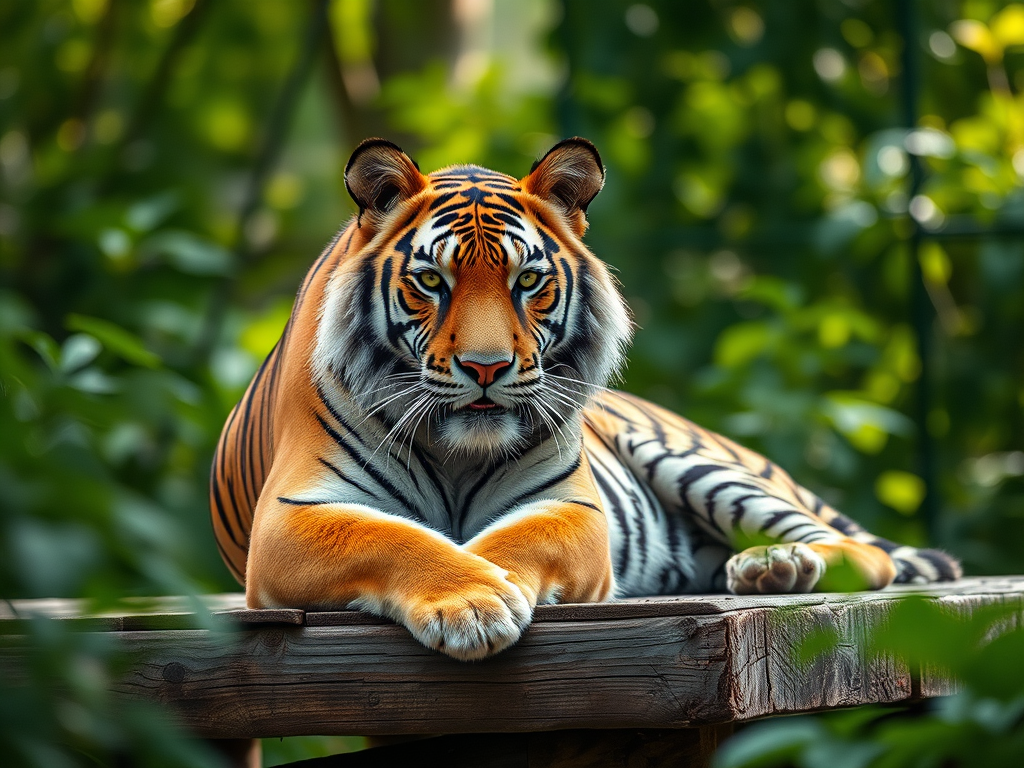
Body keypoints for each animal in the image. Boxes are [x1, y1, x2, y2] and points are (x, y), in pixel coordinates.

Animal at [210, 137, 960, 661]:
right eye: (430, 281)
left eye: (527, 281)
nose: (486, 368)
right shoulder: (290, 517)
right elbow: (393, 537)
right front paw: (473, 601)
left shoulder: (573, 505)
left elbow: (513, 537)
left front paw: (486, 591)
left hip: (695, 463)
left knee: (857, 549)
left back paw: (775, 566)